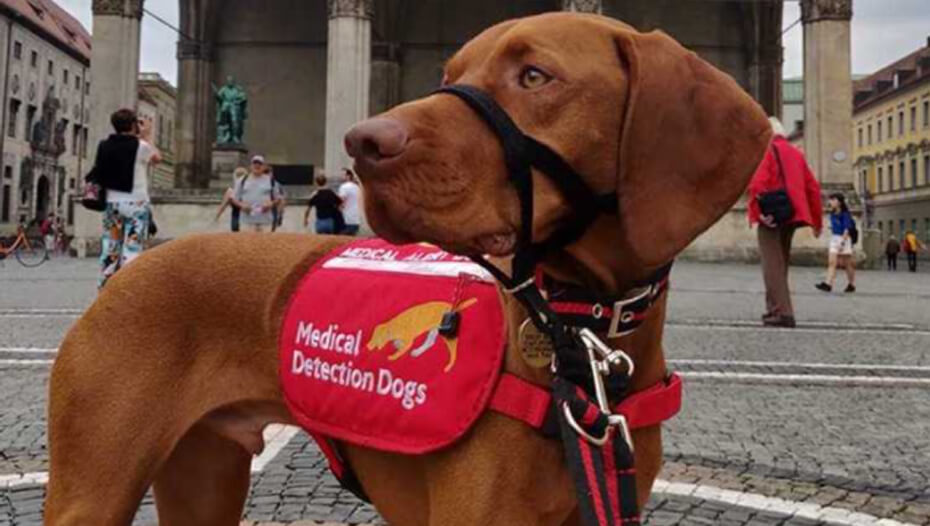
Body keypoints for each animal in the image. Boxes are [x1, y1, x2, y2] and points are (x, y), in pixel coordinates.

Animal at [45, 12, 768, 526]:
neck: (578, 336)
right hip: (93, 493)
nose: (362, 144)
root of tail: (132, 267)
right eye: (450, 75)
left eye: (535, 76)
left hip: (204, 479)